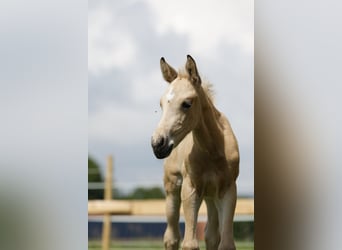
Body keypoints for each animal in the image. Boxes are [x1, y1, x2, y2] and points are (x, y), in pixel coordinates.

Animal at [151, 55, 239, 250]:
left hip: (211, 196)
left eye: (186, 103)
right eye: (161, 104)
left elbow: (225, 243)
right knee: (171, 238)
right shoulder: (190, 188)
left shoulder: (228, 189)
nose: (157, 143)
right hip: (172, 188)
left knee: (211, 236)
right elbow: (189, 244)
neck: (213, 150)